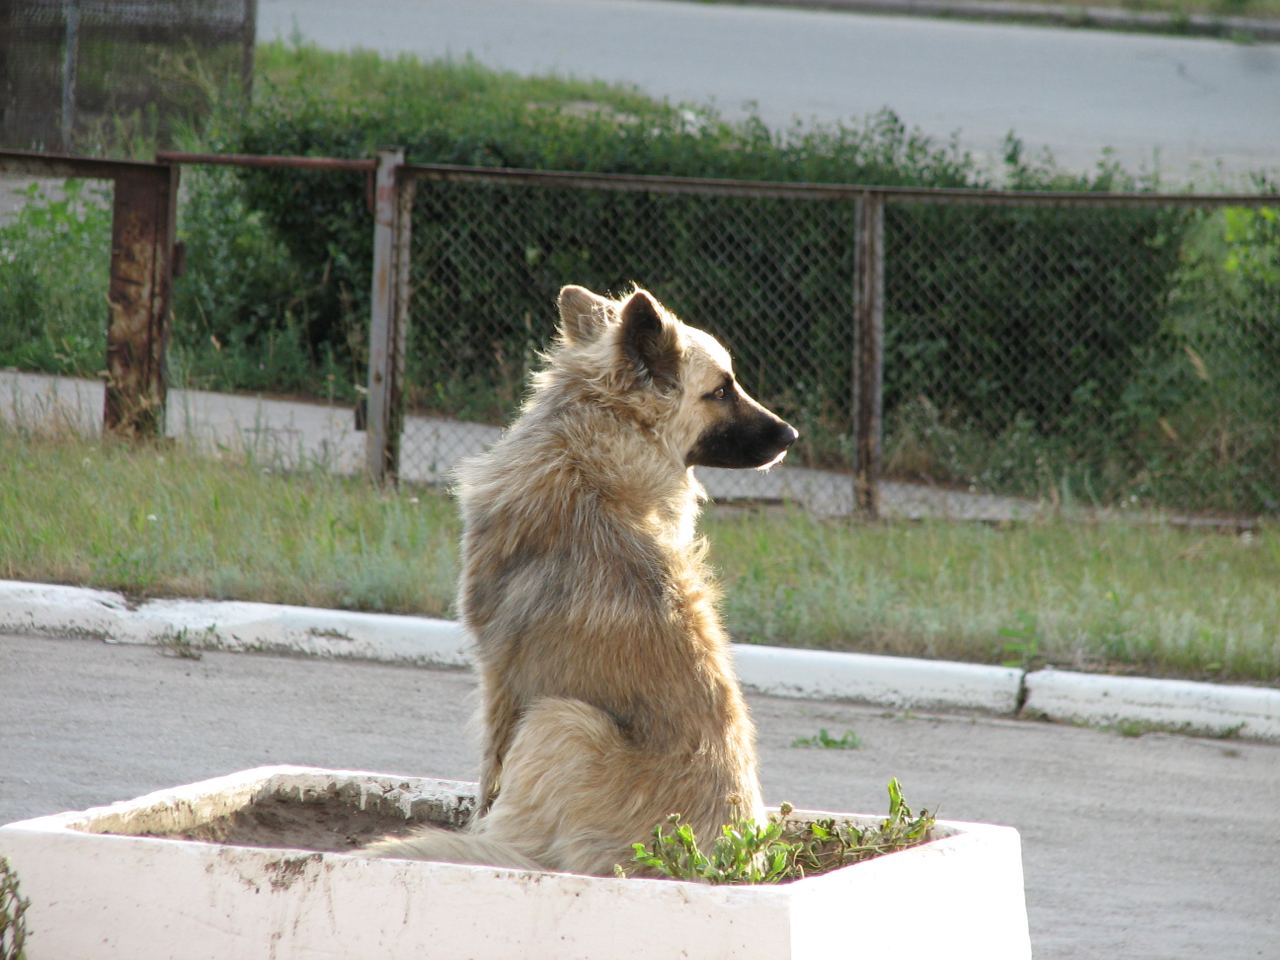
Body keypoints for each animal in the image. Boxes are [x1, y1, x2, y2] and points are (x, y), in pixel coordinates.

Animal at [366, 285, 793, 880]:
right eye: (722, 390)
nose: (792, 435)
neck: (591, 448)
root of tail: (714, 866)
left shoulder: (503, 677)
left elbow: (488, 777)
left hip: (560, 719)